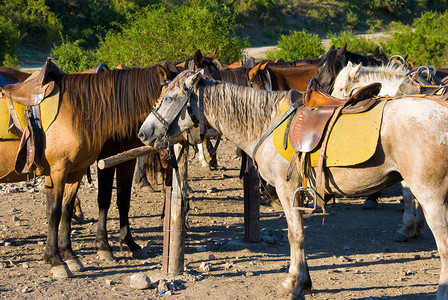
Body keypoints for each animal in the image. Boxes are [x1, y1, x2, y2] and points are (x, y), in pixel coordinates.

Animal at [0, 61, 178, 278]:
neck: (77, 111)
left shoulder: (78, 170)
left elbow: (68, 209)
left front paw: (70, 255)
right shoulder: (58, 171)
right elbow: (54, 212)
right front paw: (55, 259)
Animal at [138, 69, 448, 298]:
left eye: (170, 98)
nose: (143, 133)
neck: (266, 121)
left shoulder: (287, 191)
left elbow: (294, 236)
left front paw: (295, 284)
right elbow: (297, 236)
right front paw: (302, 281)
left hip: (432, 196)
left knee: (443, 242)